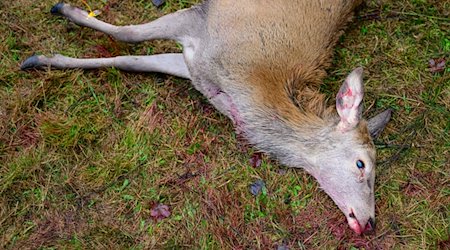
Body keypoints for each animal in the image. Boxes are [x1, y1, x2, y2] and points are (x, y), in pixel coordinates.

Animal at [22, 0, 392, 234]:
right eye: (362, 164)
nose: (370, 222)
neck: (248, 89)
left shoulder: (194, 64)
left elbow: (130, 60)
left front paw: (43, 59)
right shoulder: (201, 21)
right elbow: (128, 36)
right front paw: (61, 16)